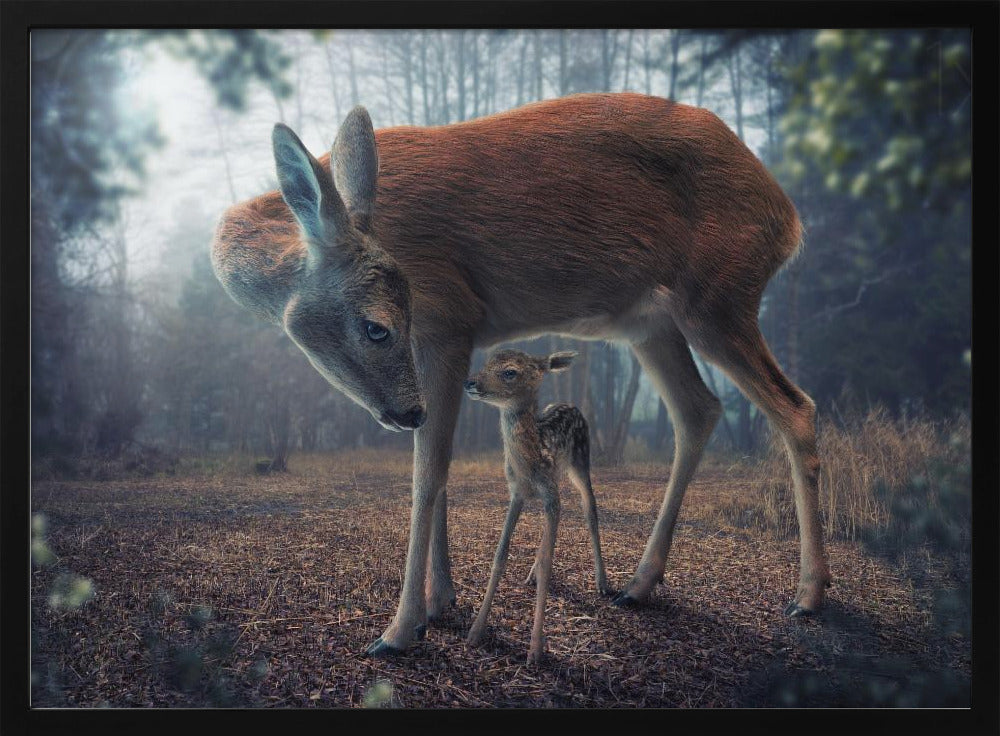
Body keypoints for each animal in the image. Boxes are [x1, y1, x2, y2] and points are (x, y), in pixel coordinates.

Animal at [463, 349, 609, 664]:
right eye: (487, 362)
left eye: (509, 371)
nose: (470, 382)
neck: (529, 464)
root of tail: (571, 404)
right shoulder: (517, 493)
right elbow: (500, 553)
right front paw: (475, 631)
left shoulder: (549, 493)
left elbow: (549, 562)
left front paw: (535, 650)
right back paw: (531, 573)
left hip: (581, 462)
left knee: (589, 508)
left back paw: (602, 582)